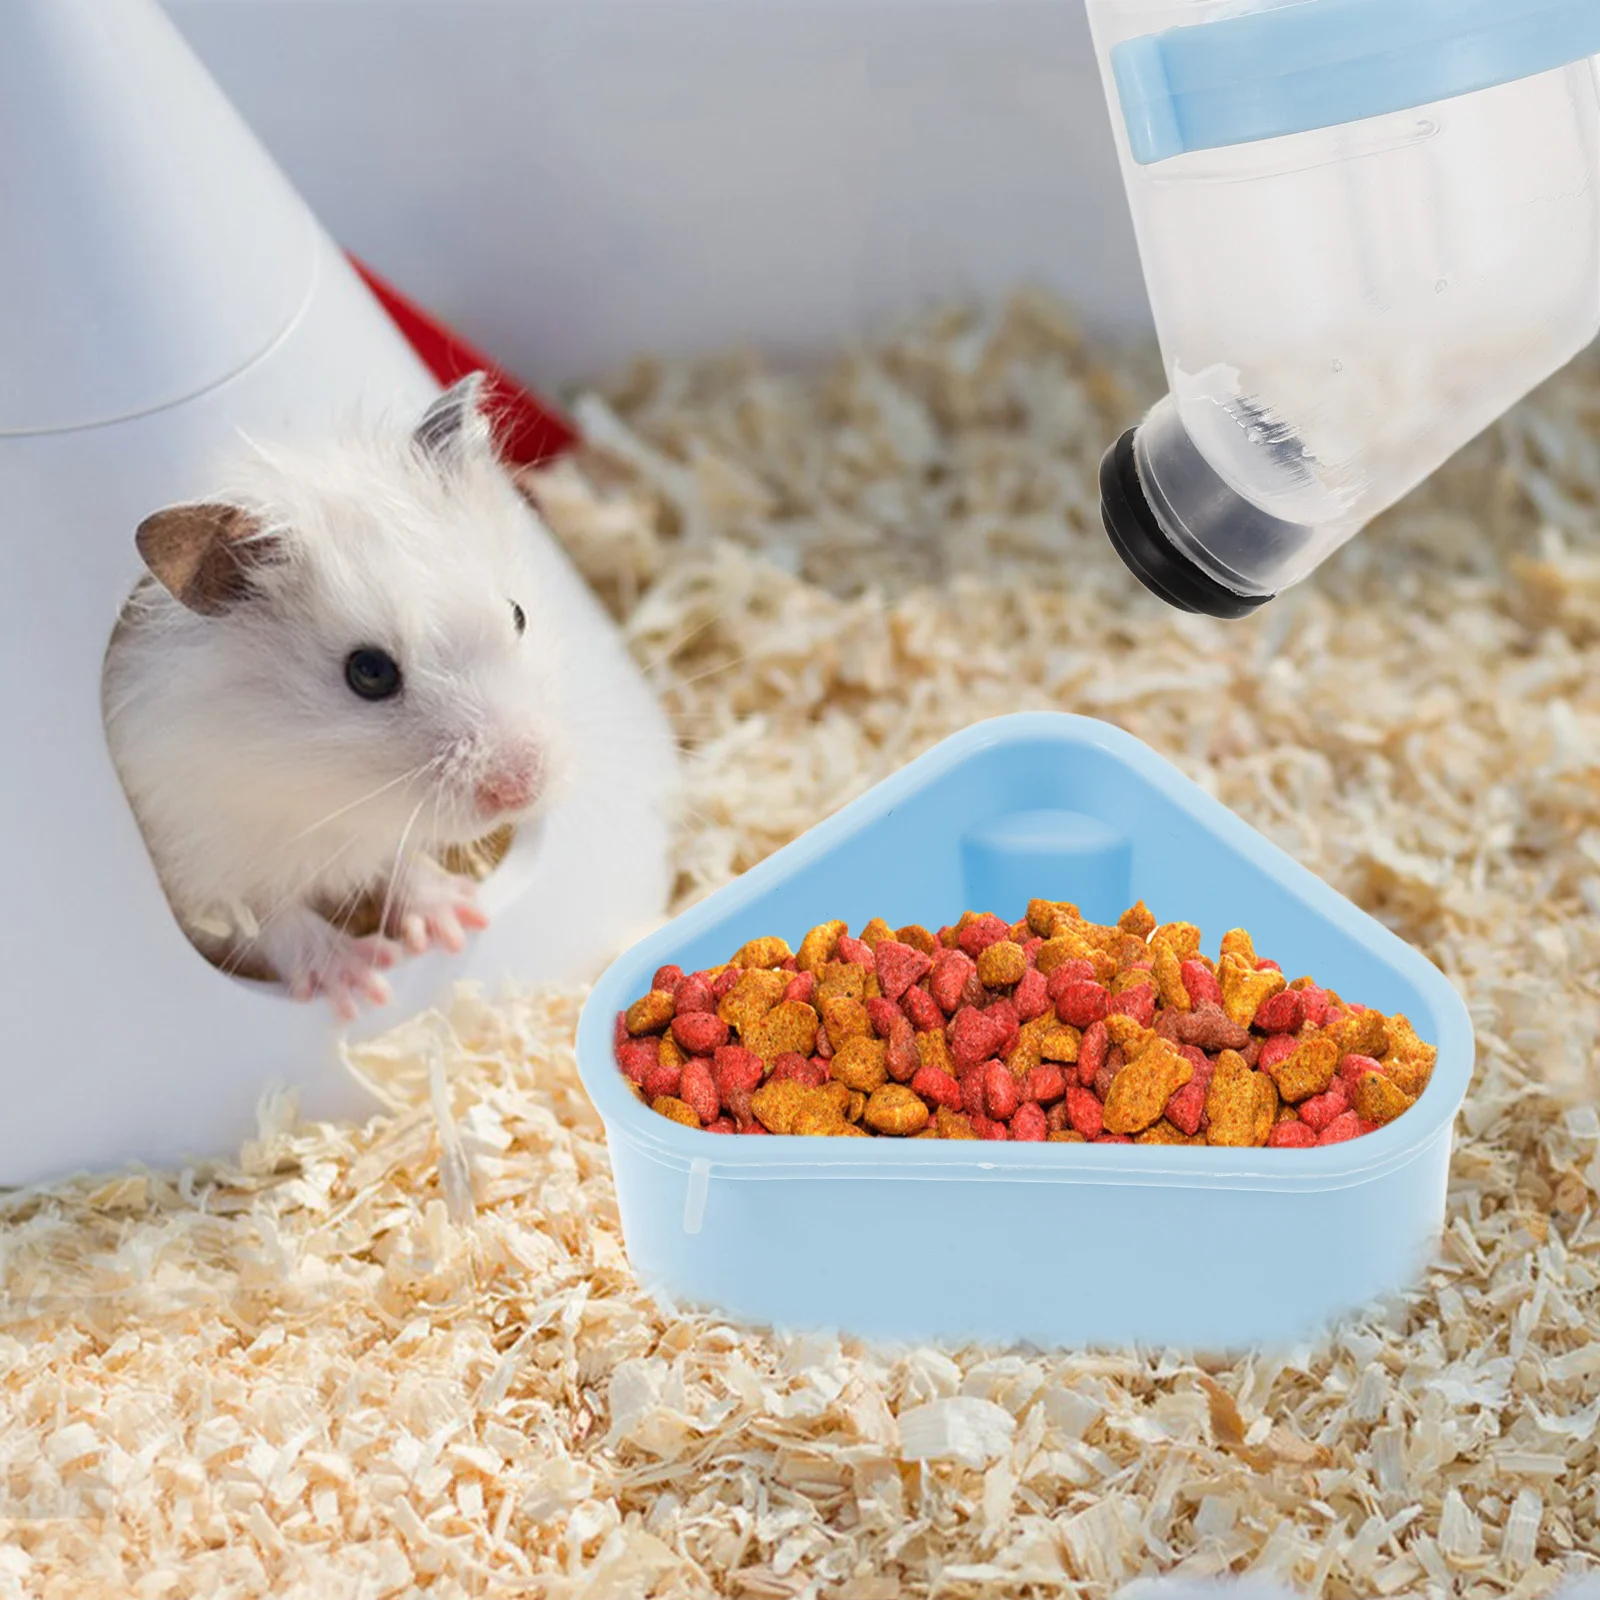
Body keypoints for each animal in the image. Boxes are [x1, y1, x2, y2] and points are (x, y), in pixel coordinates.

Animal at [102, 374, 570, 1020]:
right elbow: (268, 919)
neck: (328, 796)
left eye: (517, 614)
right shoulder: (192, 862)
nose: (522, 786)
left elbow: (398, 863)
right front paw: (363, 982)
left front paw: (458, 916)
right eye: (368, 673)